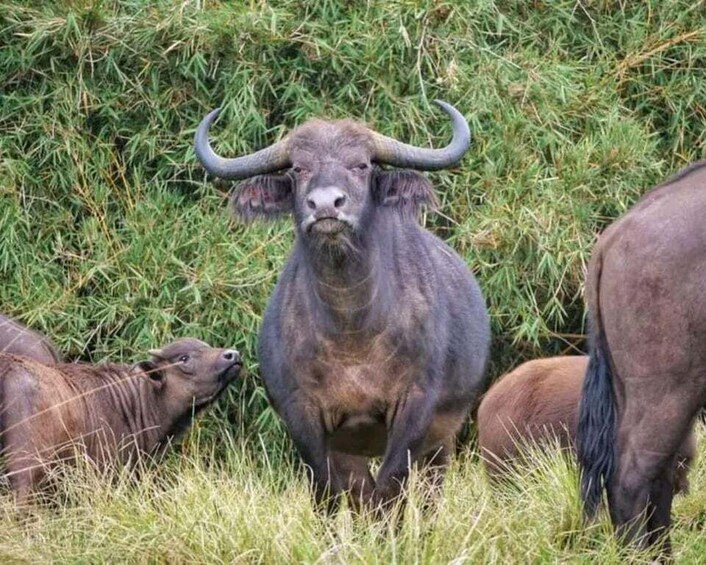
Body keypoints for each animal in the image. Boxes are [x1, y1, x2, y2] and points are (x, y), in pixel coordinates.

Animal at [194, 101, 490, 510]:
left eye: (361, 165)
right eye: (297, 168)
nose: (325, 206)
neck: (351, 329)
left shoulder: (415, 408)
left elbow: (390, 488)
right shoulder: (304, 416)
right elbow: (326, 491)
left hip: (441, 440)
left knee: (427, 493)